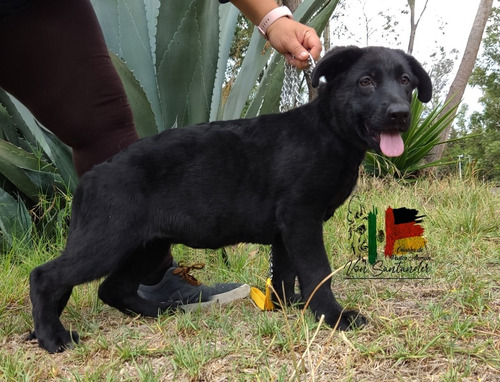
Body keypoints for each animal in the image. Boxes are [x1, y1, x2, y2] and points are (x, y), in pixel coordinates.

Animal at [29, 46, 432, 354]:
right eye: (366, 82)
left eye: (405, 81)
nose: (400, 114)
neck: (328, 132)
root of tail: (90, 178)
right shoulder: (301, 218)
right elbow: (317, 270)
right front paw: (332, 315)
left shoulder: (286, 230)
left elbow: (286, 274)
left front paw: (289, 306)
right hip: (108, 241)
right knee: (45, 277)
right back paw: (54, 337)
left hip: (147, 245)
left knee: (113, 288)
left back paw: (159, 312)